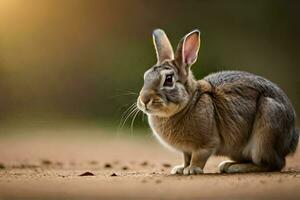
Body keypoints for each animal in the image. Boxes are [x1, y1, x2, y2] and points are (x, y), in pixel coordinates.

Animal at [137, 28, 298, 175]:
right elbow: (186, 158)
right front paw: (181, 169)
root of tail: (291, 140)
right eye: (146, 76)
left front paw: (192, 170)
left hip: (266, 128)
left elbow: (198, 157)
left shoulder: (206, 143)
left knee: (274, 164)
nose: (144, 100)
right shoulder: (186, 150)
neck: (189, 102)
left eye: (169, 79)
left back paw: (236, 168)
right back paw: (228, 165)